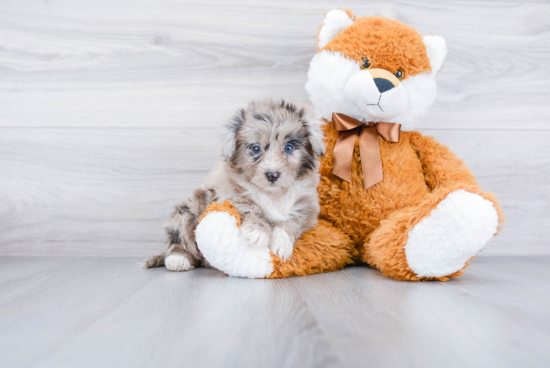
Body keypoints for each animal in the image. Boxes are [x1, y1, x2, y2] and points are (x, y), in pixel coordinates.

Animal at [143, 99, 328, 272]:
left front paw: (281, 243)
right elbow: (251, 207)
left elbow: (292, 221)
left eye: (289, 148)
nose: (272, 175)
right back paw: (178, 260)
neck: (273, 194)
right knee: (180, 244)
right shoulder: (230, 195)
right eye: (255, 148)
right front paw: (257, 232)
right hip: (184, 215)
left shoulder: (307, 205)